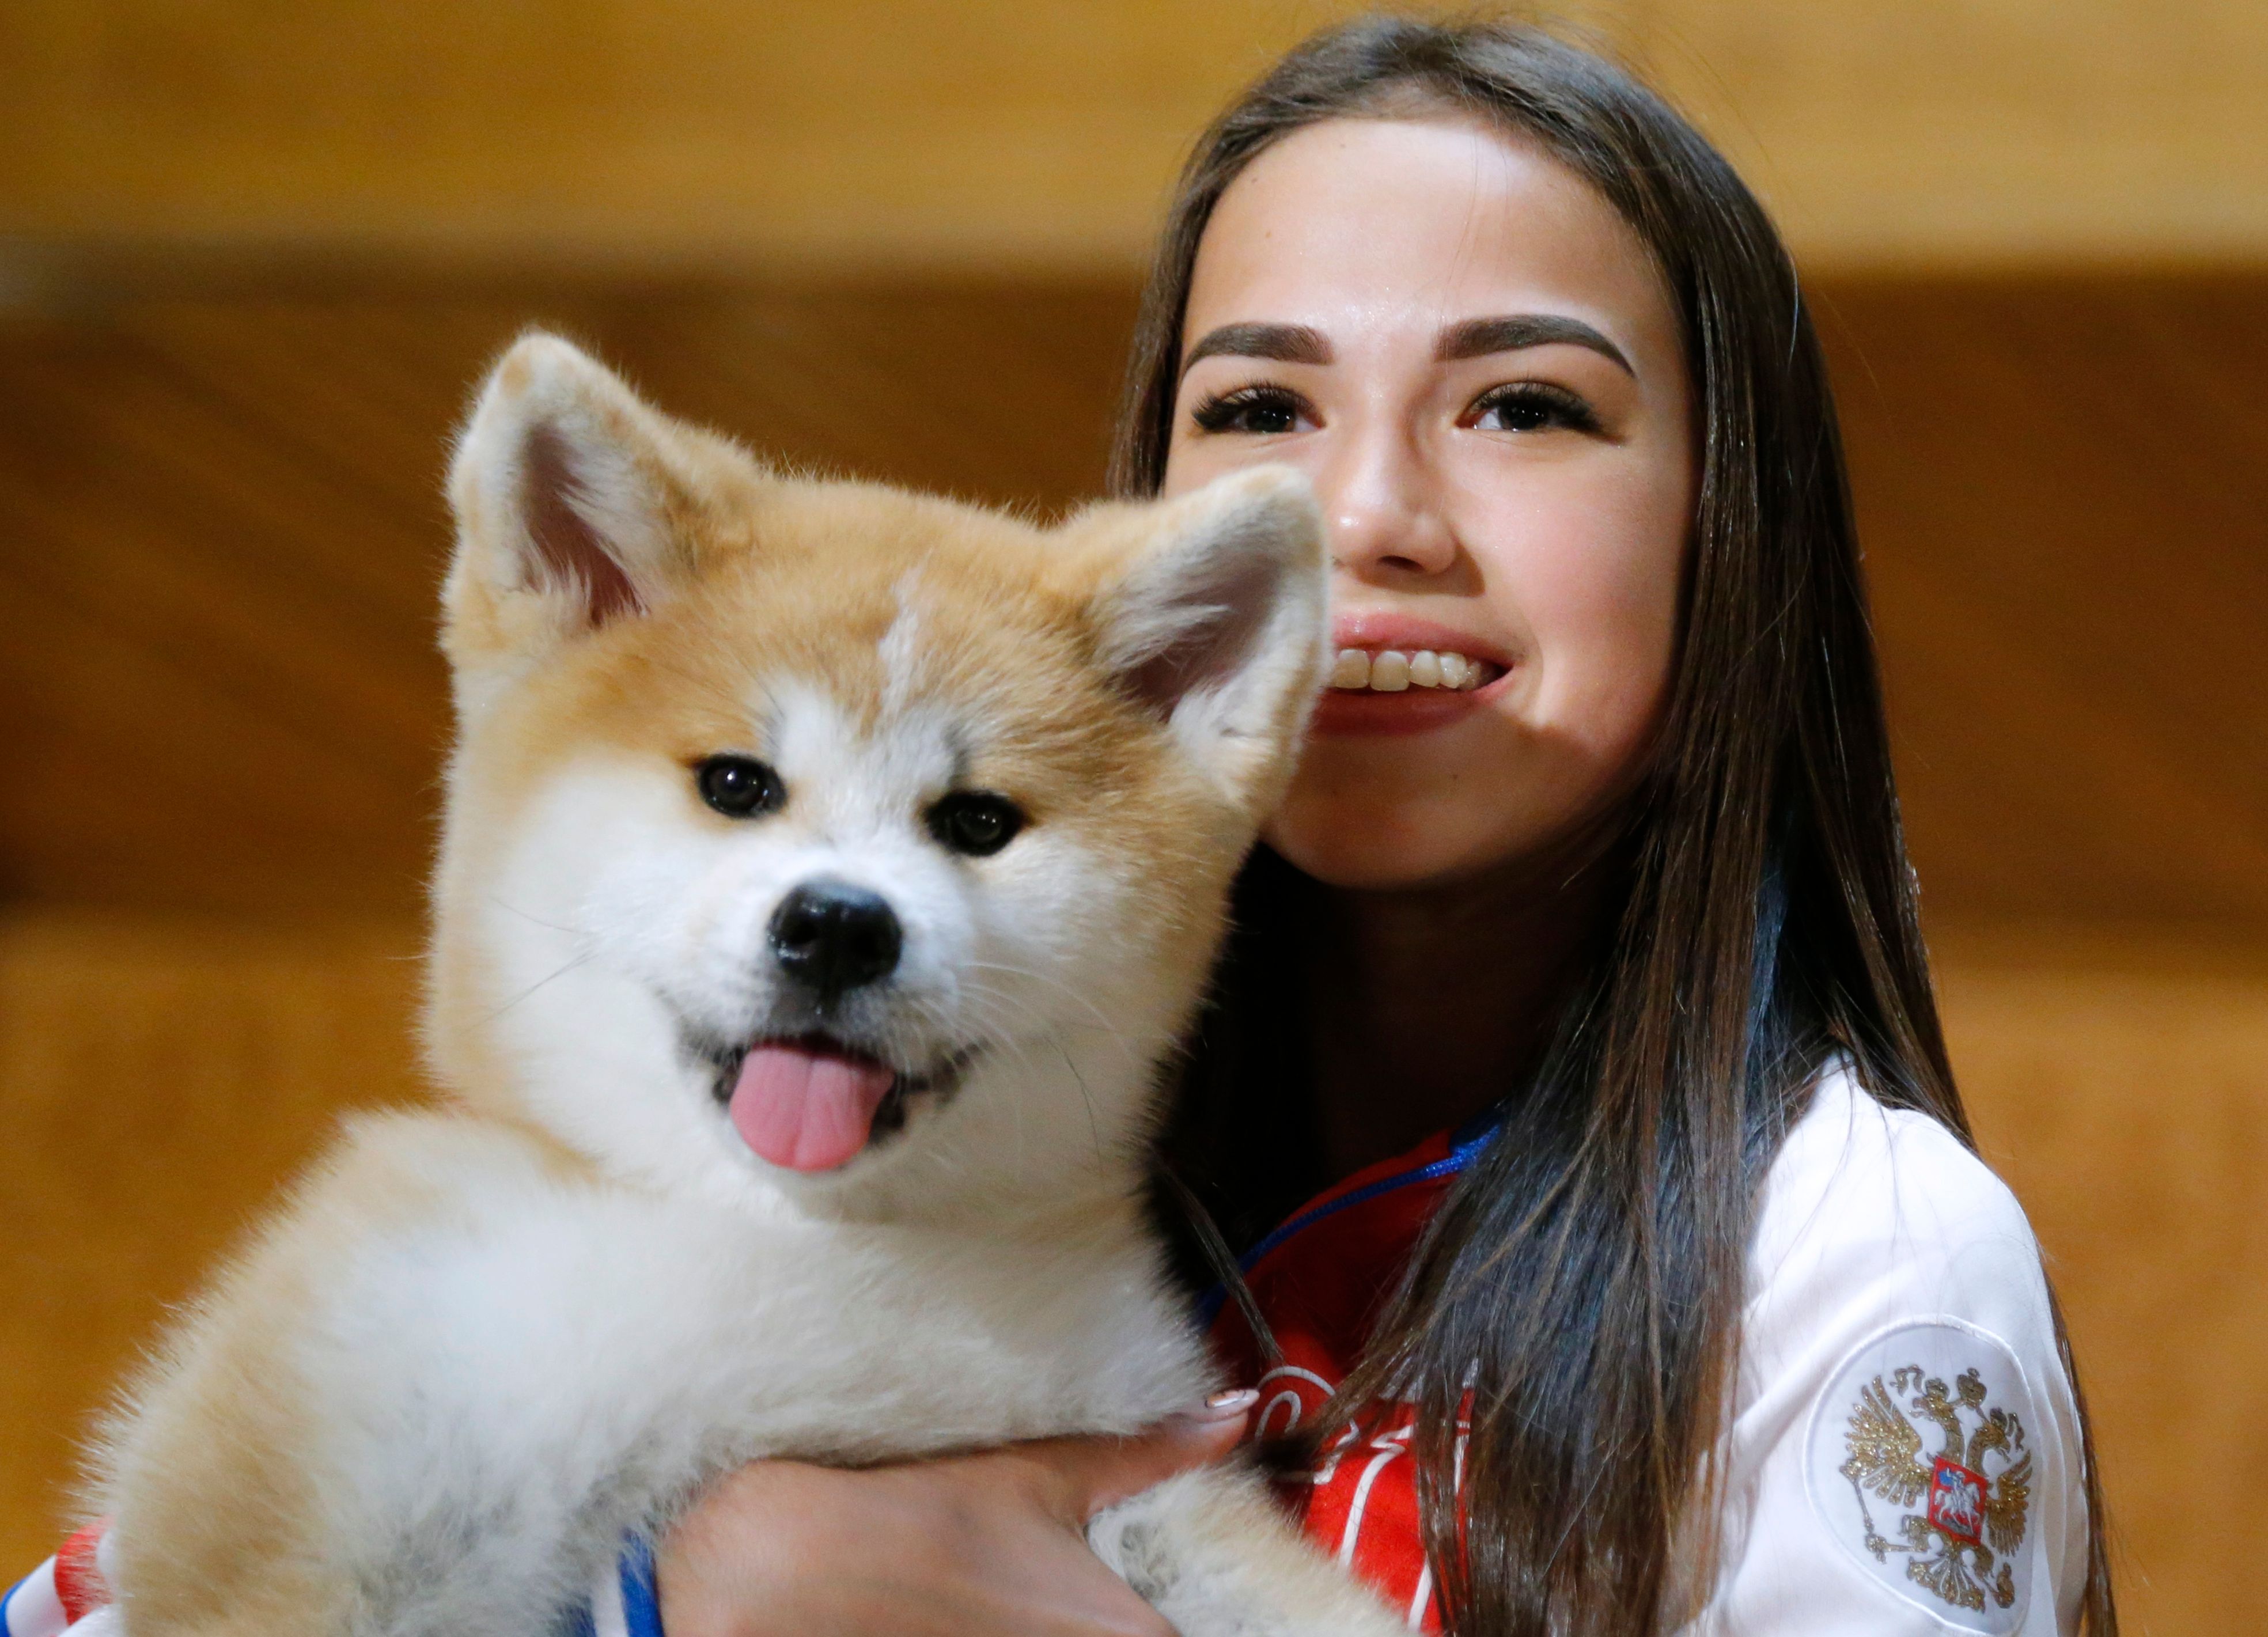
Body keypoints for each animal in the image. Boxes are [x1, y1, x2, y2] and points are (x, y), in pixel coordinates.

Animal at [84, 335, 1397, 1632]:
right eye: (735, 783)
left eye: (978, 821)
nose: (839, 927)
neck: (783, 1245)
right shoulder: (302, 1505)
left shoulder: (1154, 1472)